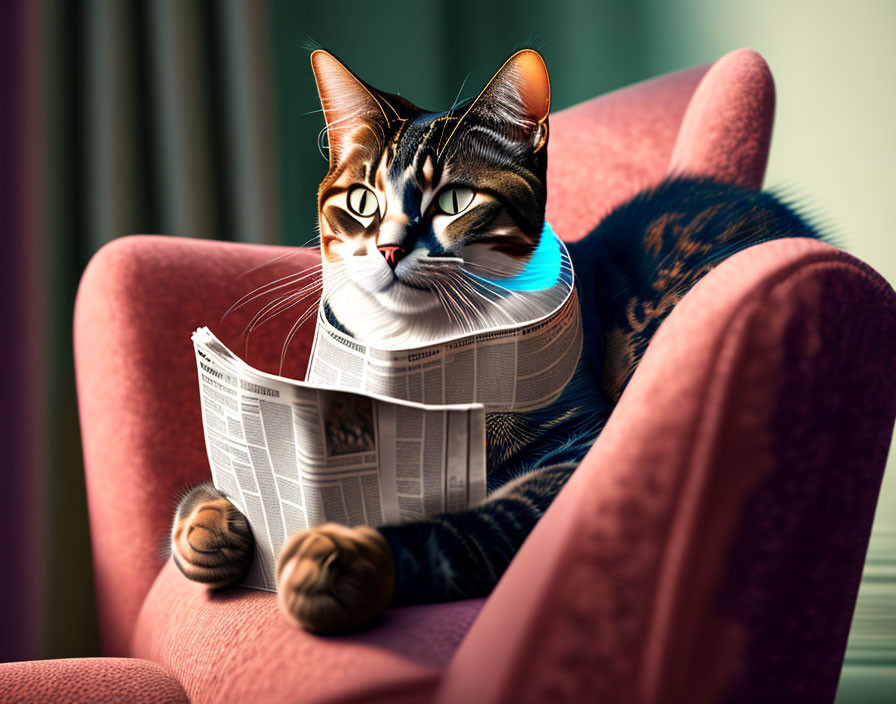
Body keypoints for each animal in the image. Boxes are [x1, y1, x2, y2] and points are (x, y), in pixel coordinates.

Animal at [168, 48, 820, 632]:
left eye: (455, 201)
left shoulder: (576, 449)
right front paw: (208, 524)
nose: (389, 248)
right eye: (361, 200)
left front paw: (346, 557)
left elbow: (475, 524)